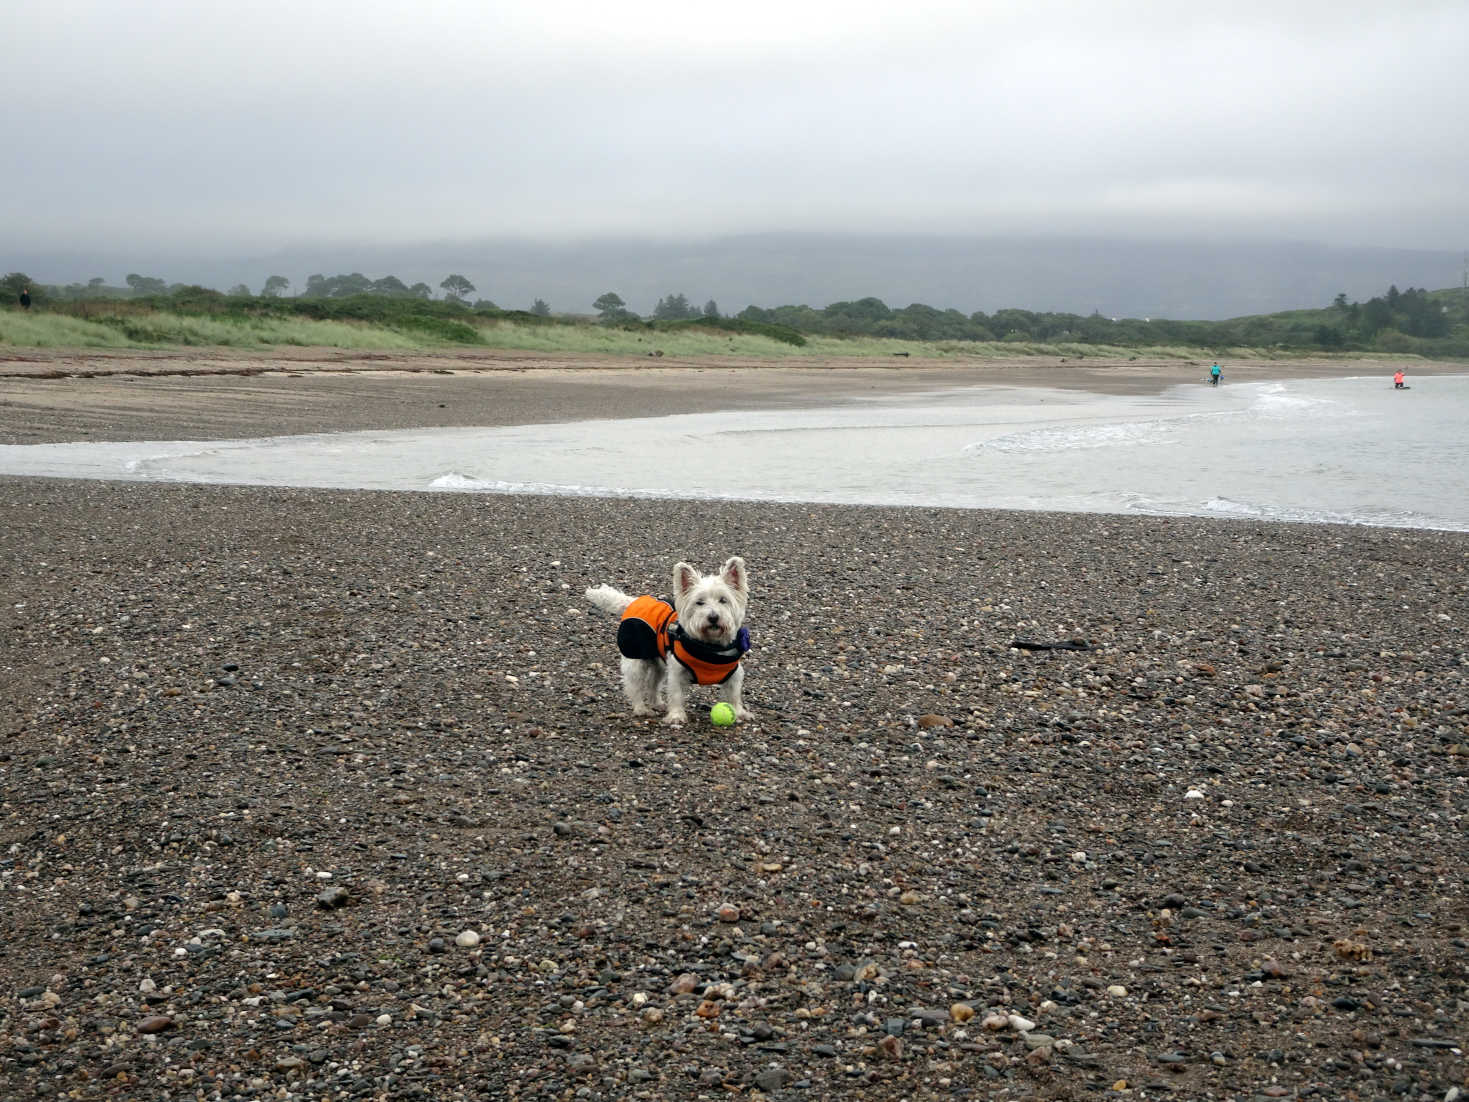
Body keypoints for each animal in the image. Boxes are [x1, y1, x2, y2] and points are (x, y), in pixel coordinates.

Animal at [581, 555, 752, 728]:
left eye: (723, 600)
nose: (713, 617)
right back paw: (641, 708)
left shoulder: (734, 674)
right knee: (635, 686)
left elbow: (734, 694)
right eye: (699, 602)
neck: (709, 647)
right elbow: (675, 694)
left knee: (652, 684)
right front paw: (676, 716)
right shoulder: (676, 671)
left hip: (658, 664)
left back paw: (657, 703)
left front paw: (740, 712)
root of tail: (635, 602)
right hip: (635, 660)